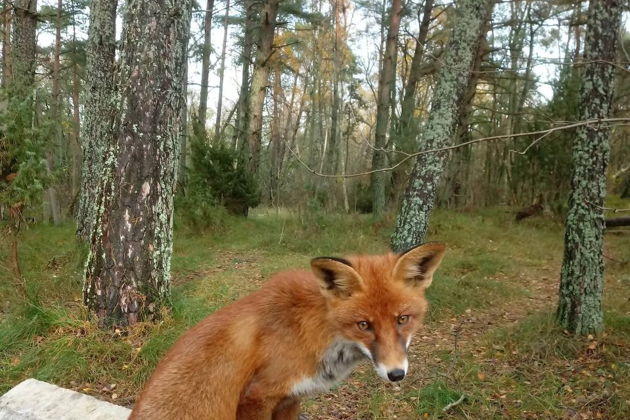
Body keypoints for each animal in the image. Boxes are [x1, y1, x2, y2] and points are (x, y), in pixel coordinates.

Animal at [130, 243, 444, 420]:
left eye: (403, 319)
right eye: (364, 325)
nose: (396, 374)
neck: (317, 332)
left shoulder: (291, 398)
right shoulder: (256, 397)